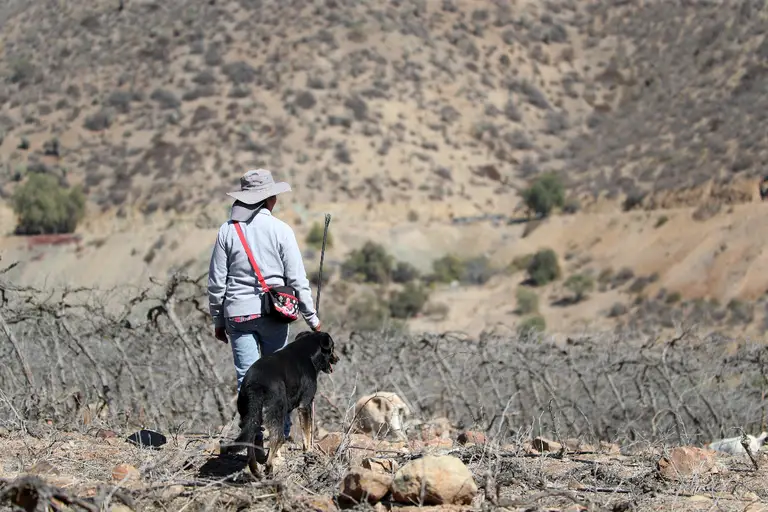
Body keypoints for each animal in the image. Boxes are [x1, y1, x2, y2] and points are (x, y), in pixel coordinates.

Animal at [222, 330, 342, 478]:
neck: (308, 351)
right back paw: (269, 470)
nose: (338, 359)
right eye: (332, 347)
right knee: (277, 439)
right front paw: (308, 453)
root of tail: (255, 384)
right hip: (276, 410)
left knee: (251, 441)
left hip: (250, 414)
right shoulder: (305, 405)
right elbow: (307, 434)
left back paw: (256, 471)